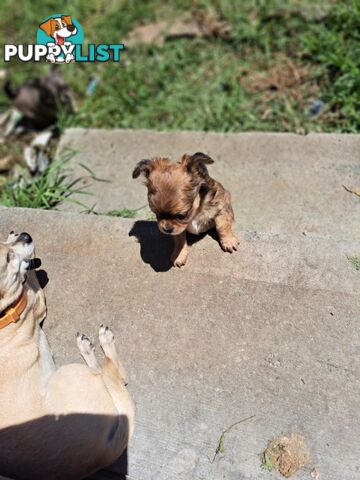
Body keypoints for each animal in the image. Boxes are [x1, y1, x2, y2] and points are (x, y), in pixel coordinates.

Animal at [0, 232, 134, 476]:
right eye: (8, 258)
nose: (24, 234)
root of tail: (101, 455)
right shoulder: (37, 303)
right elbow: (31, 280)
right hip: (70, 374)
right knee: (114, 375)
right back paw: (100, 343)